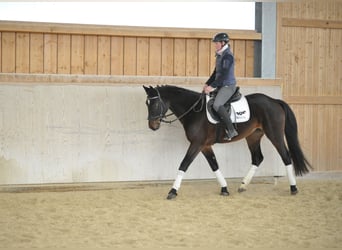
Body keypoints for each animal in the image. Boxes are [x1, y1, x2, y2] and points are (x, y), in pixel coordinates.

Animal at [143, 85, 312, 199]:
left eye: (155, 103)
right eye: (146, 103)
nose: (152, 126)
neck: (194, 111)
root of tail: (274, 101)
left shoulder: (197, 144)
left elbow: (184, 164)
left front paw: (173, 191)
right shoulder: (205, 146)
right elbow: (214, 165)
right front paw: (224, 189)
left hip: (274, 135)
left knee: (286, 157)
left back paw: (293, 188)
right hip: (253, 136)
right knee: (257, 158)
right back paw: (243, 186)